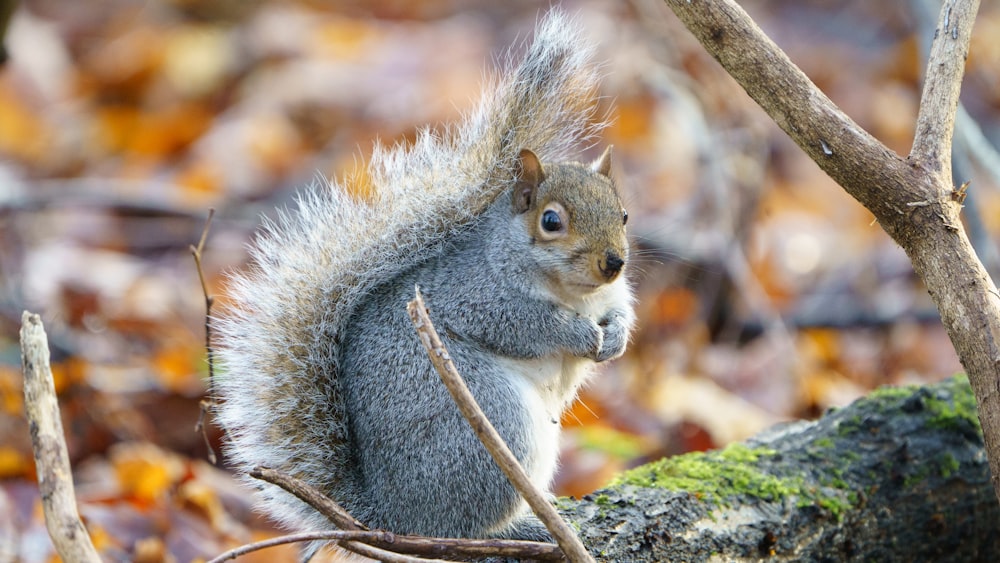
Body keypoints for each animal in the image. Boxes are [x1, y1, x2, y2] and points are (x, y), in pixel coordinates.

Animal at [216, 9, 636, 560]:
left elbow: (623, 311)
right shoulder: (476, 296)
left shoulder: (611, 292)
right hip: (490, 423)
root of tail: (389, 517)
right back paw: (521, 530)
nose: (613, 262)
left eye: (624, 214)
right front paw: (579, 334)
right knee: (460, 530)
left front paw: (615, 337)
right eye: (551, 221)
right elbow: (526, 326)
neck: (574, 291)